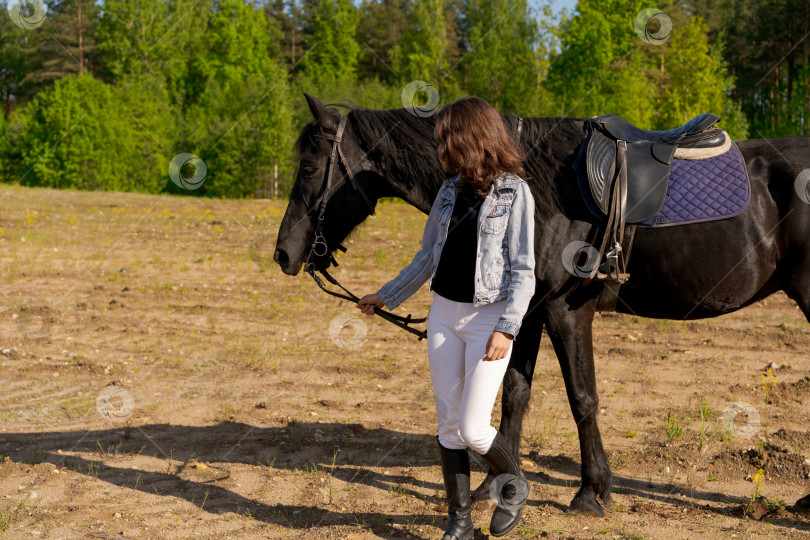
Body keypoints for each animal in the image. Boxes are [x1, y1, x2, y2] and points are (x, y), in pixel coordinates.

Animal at [274, 92, 808, 516]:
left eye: (308, 167)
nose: (283, 253)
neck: (534, 185)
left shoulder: (565, 311)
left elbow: (582, 399)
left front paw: (592, 492)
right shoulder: (524, 313)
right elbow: (513, 394)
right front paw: (498, 484)